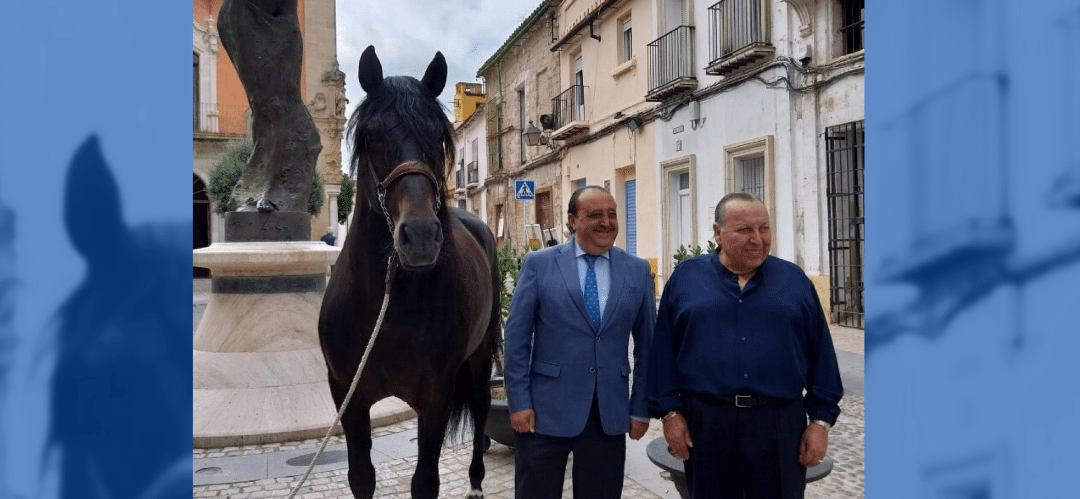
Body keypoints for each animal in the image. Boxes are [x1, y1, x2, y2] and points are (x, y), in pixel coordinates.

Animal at [315, 44, 501, 496]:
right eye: (373, 135)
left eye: (439, 137)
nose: (419, 236)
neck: (387, 305)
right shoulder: (347, 396)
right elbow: (361, 477)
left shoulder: (434, 398)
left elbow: (425, 481)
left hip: (481, 354)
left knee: (482, 409)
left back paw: (476, 480)